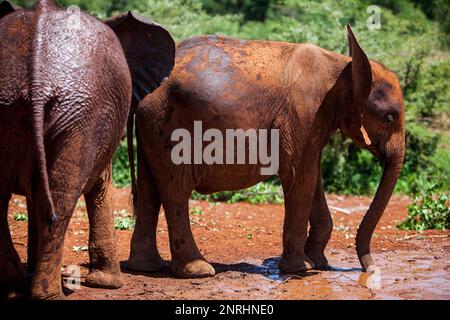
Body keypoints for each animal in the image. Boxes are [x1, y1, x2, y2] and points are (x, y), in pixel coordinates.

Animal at [0, 0, 174, 300]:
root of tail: (37, 80)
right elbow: (100, 184)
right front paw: (108, 285)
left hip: (27, 106)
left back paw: (15, 288)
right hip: (82, 111)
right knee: (60, 197)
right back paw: (48, 295)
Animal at [128, 25, 406, 278]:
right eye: (389, 117)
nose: (370, 269)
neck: (342, 66)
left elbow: (312, 177)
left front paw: (319, 263)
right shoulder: (304, 115)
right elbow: (301, 179)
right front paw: (302, 269)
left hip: (152, 125)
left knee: (150, 191)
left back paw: (147, 267)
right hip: (169, 128)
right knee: (176, 192)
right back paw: (198, 270)